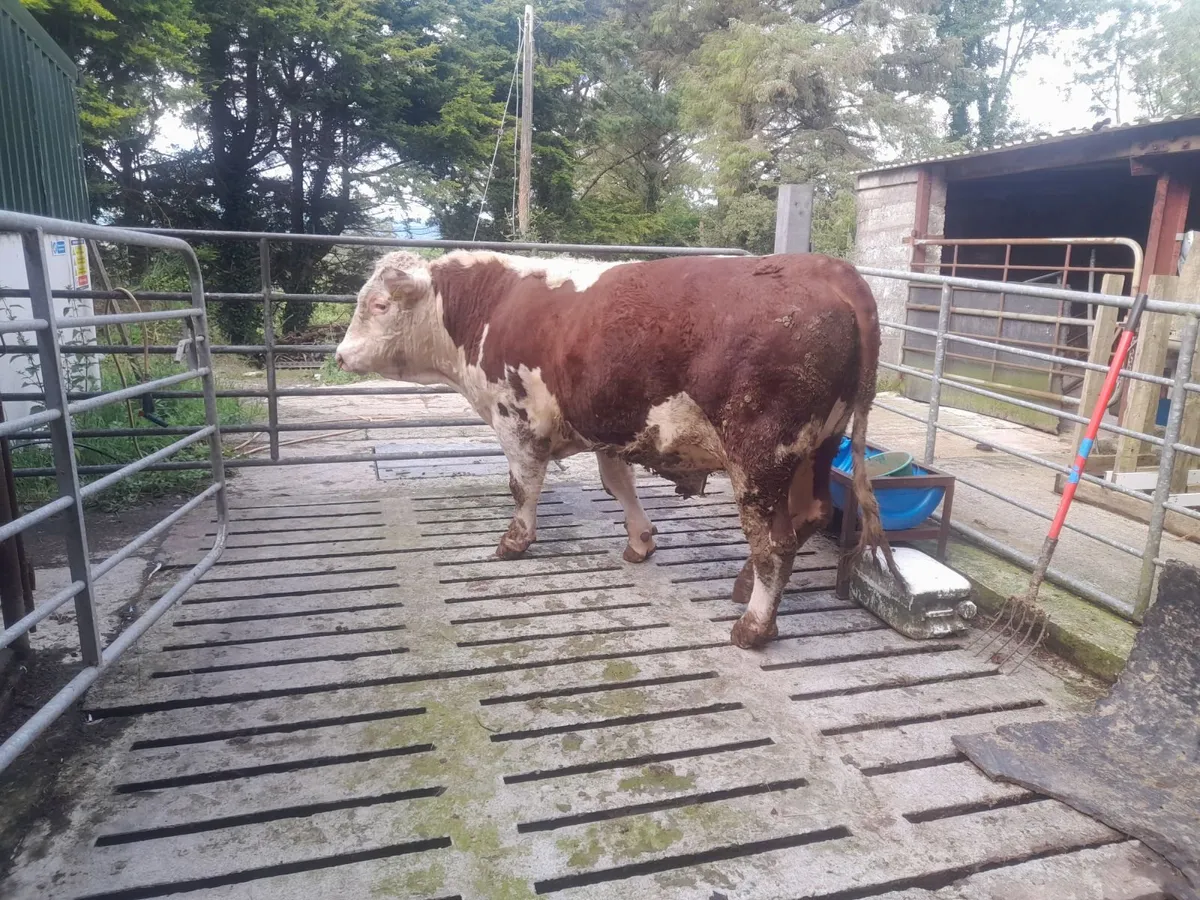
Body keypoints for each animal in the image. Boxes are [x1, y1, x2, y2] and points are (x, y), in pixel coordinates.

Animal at [335, 250, 896, 648]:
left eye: (379, 305)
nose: (340, 355)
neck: (493, 305)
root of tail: (826, 268)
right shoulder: (608, 425)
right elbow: (616, 483)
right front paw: (640, 541)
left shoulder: (516, 419)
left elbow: (523, 485)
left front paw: (515, 541)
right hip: (818, 446)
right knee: (810, 515)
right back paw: (745, 588)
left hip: (760, 455)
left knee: (772, 543)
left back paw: (753, 626)